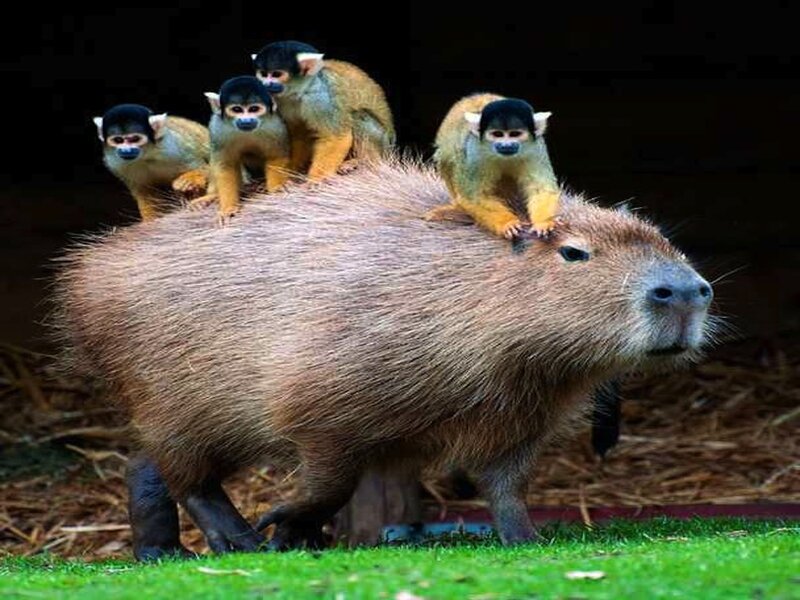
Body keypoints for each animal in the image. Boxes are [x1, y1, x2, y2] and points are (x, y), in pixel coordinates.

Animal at [198, 76, 291, 225]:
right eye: (237, 109)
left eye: (254, 109)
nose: (246, 120)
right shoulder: (217, 127)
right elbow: (225, 166)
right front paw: (228, 209)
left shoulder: (275, 125)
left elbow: (276, 156)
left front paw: (277, 187)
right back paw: (212, 196)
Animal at [252, 40, 395, 181]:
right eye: (263, 74)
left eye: (276, 74)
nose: (265, 84)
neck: (300, 90)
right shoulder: (280, 101)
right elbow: (299, 135)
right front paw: (289, 171)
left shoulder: (320, 96)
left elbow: (336, 137)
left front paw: (314, 181)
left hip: (383, 145)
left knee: (357, 116)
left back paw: (365, 161)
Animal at [426, 93, 561, 239]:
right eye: (497, 134)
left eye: (515, 134)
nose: (506, 145)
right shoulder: (474, 151)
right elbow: (475, 196)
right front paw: (507, 223)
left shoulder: (536, 148)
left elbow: (541, 188)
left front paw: (543, 222)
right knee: (450, 156)